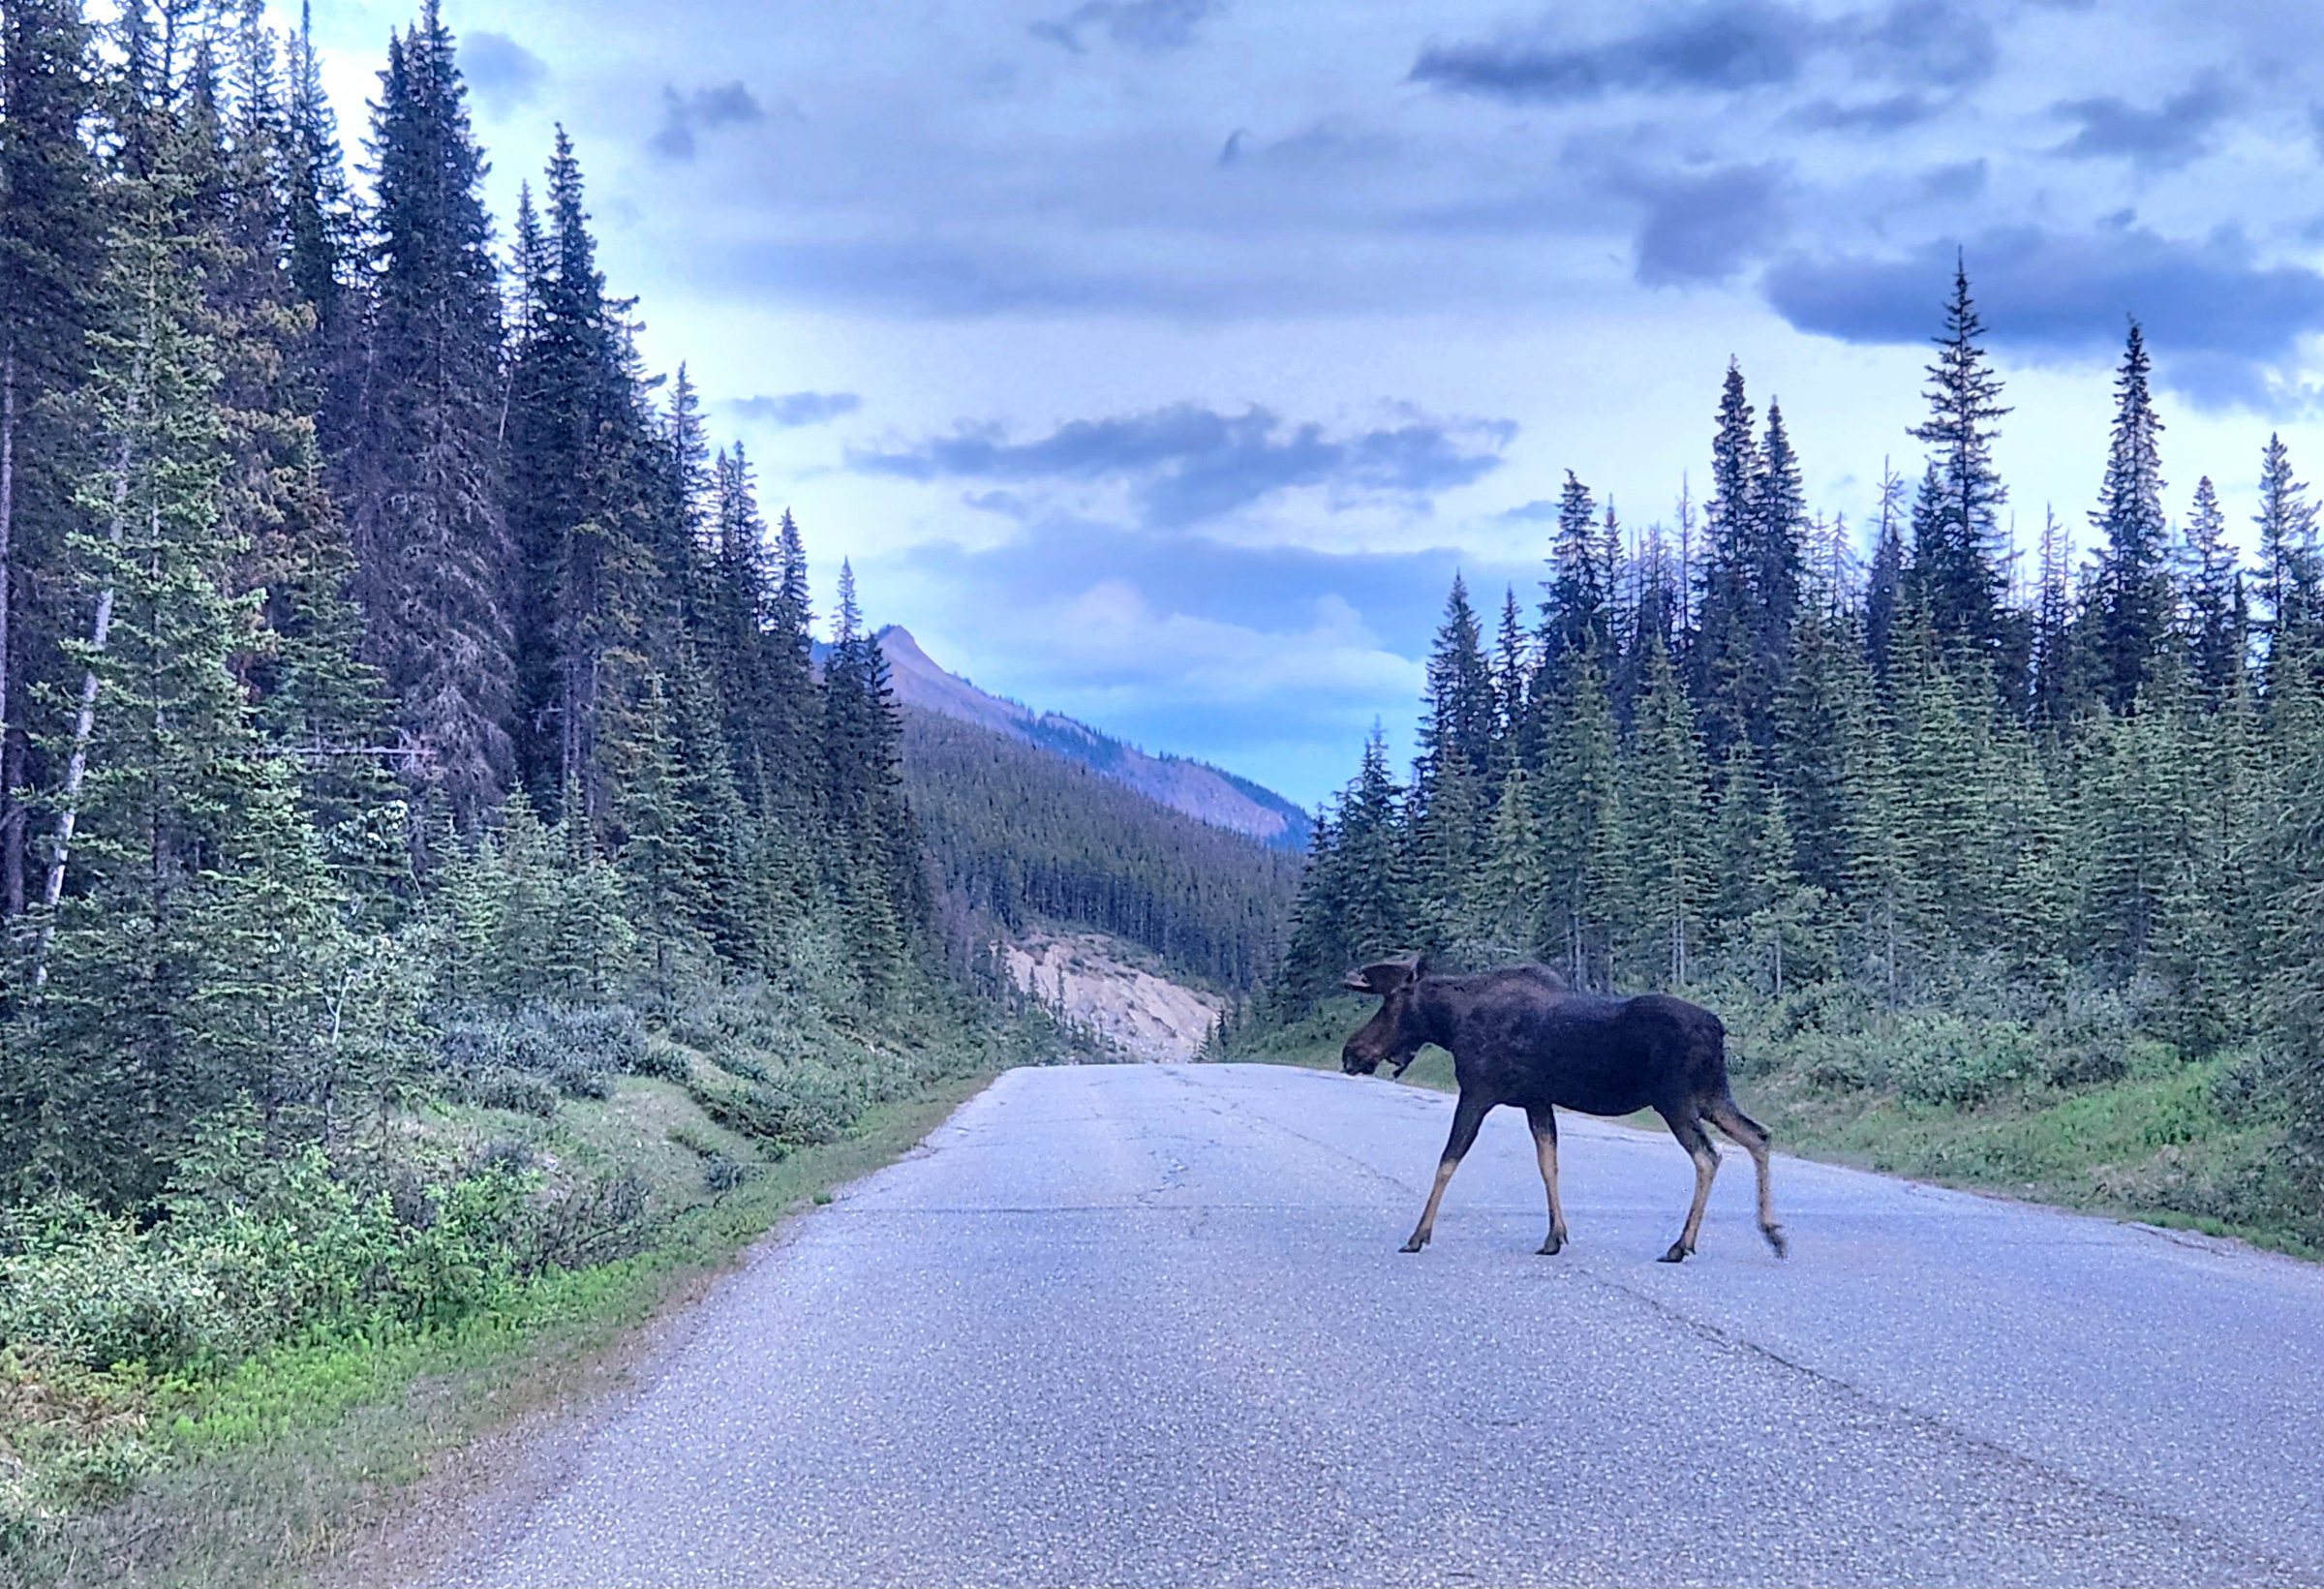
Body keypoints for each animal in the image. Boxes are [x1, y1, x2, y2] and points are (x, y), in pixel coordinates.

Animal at [1338, 955, 1785, 1264]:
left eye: (1389, 1003)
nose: (1350, 1052)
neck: (1449, 1025)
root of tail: (1717, 1030)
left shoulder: (1478, 1092)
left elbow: (1448, 1160)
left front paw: (1418, 1235)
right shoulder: (1536, 1100)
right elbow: (1548, 1162)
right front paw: (1554, 1236)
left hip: (1675, 1100)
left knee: (1708, 1156)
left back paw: (1682, 1244)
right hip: (1711, 1096)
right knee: (1758, 1135)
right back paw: (1773, 1233)